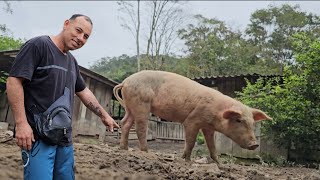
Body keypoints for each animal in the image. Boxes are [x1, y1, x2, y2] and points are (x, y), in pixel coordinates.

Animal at [114, 70, 272, 163]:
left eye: (252, 123)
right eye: (238, 120)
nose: (255, 144)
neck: (216, 113)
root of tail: (125, 82)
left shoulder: (208, 127)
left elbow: (211, 145)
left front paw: (218, 163)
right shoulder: (192, 121)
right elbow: (191, 141)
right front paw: (186, 160)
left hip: (130, 107)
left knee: (125, 123)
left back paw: (124, 148)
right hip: (141, 105)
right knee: (140, 128)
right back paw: (146, 152)